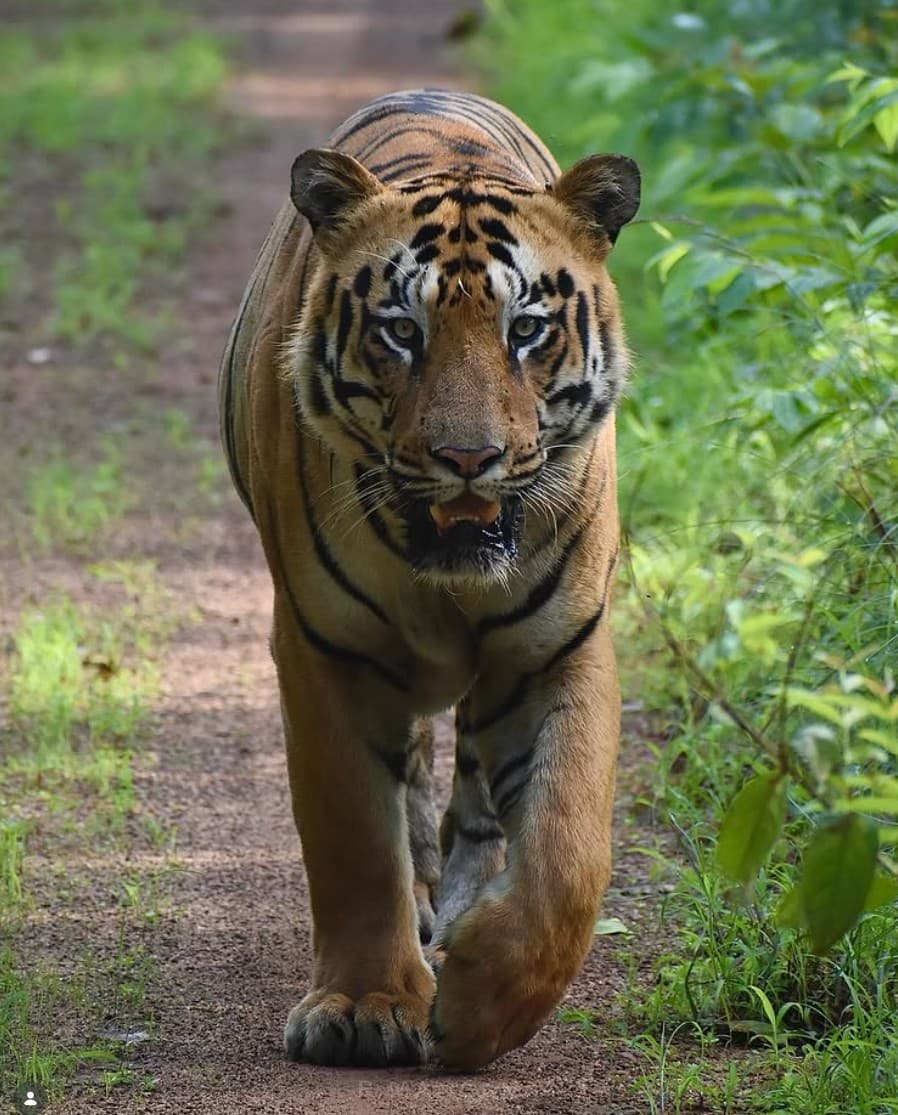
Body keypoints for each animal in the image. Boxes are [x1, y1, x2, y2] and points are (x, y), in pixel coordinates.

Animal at [218, 88, 640, 1071]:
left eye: (526, 330)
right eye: (401, 333)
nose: (468, 458)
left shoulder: (561, 646)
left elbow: (568, 853)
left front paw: (482, 1006)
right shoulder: (325, 650)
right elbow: (355, 840)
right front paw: (367, 1007)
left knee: (481, 793)